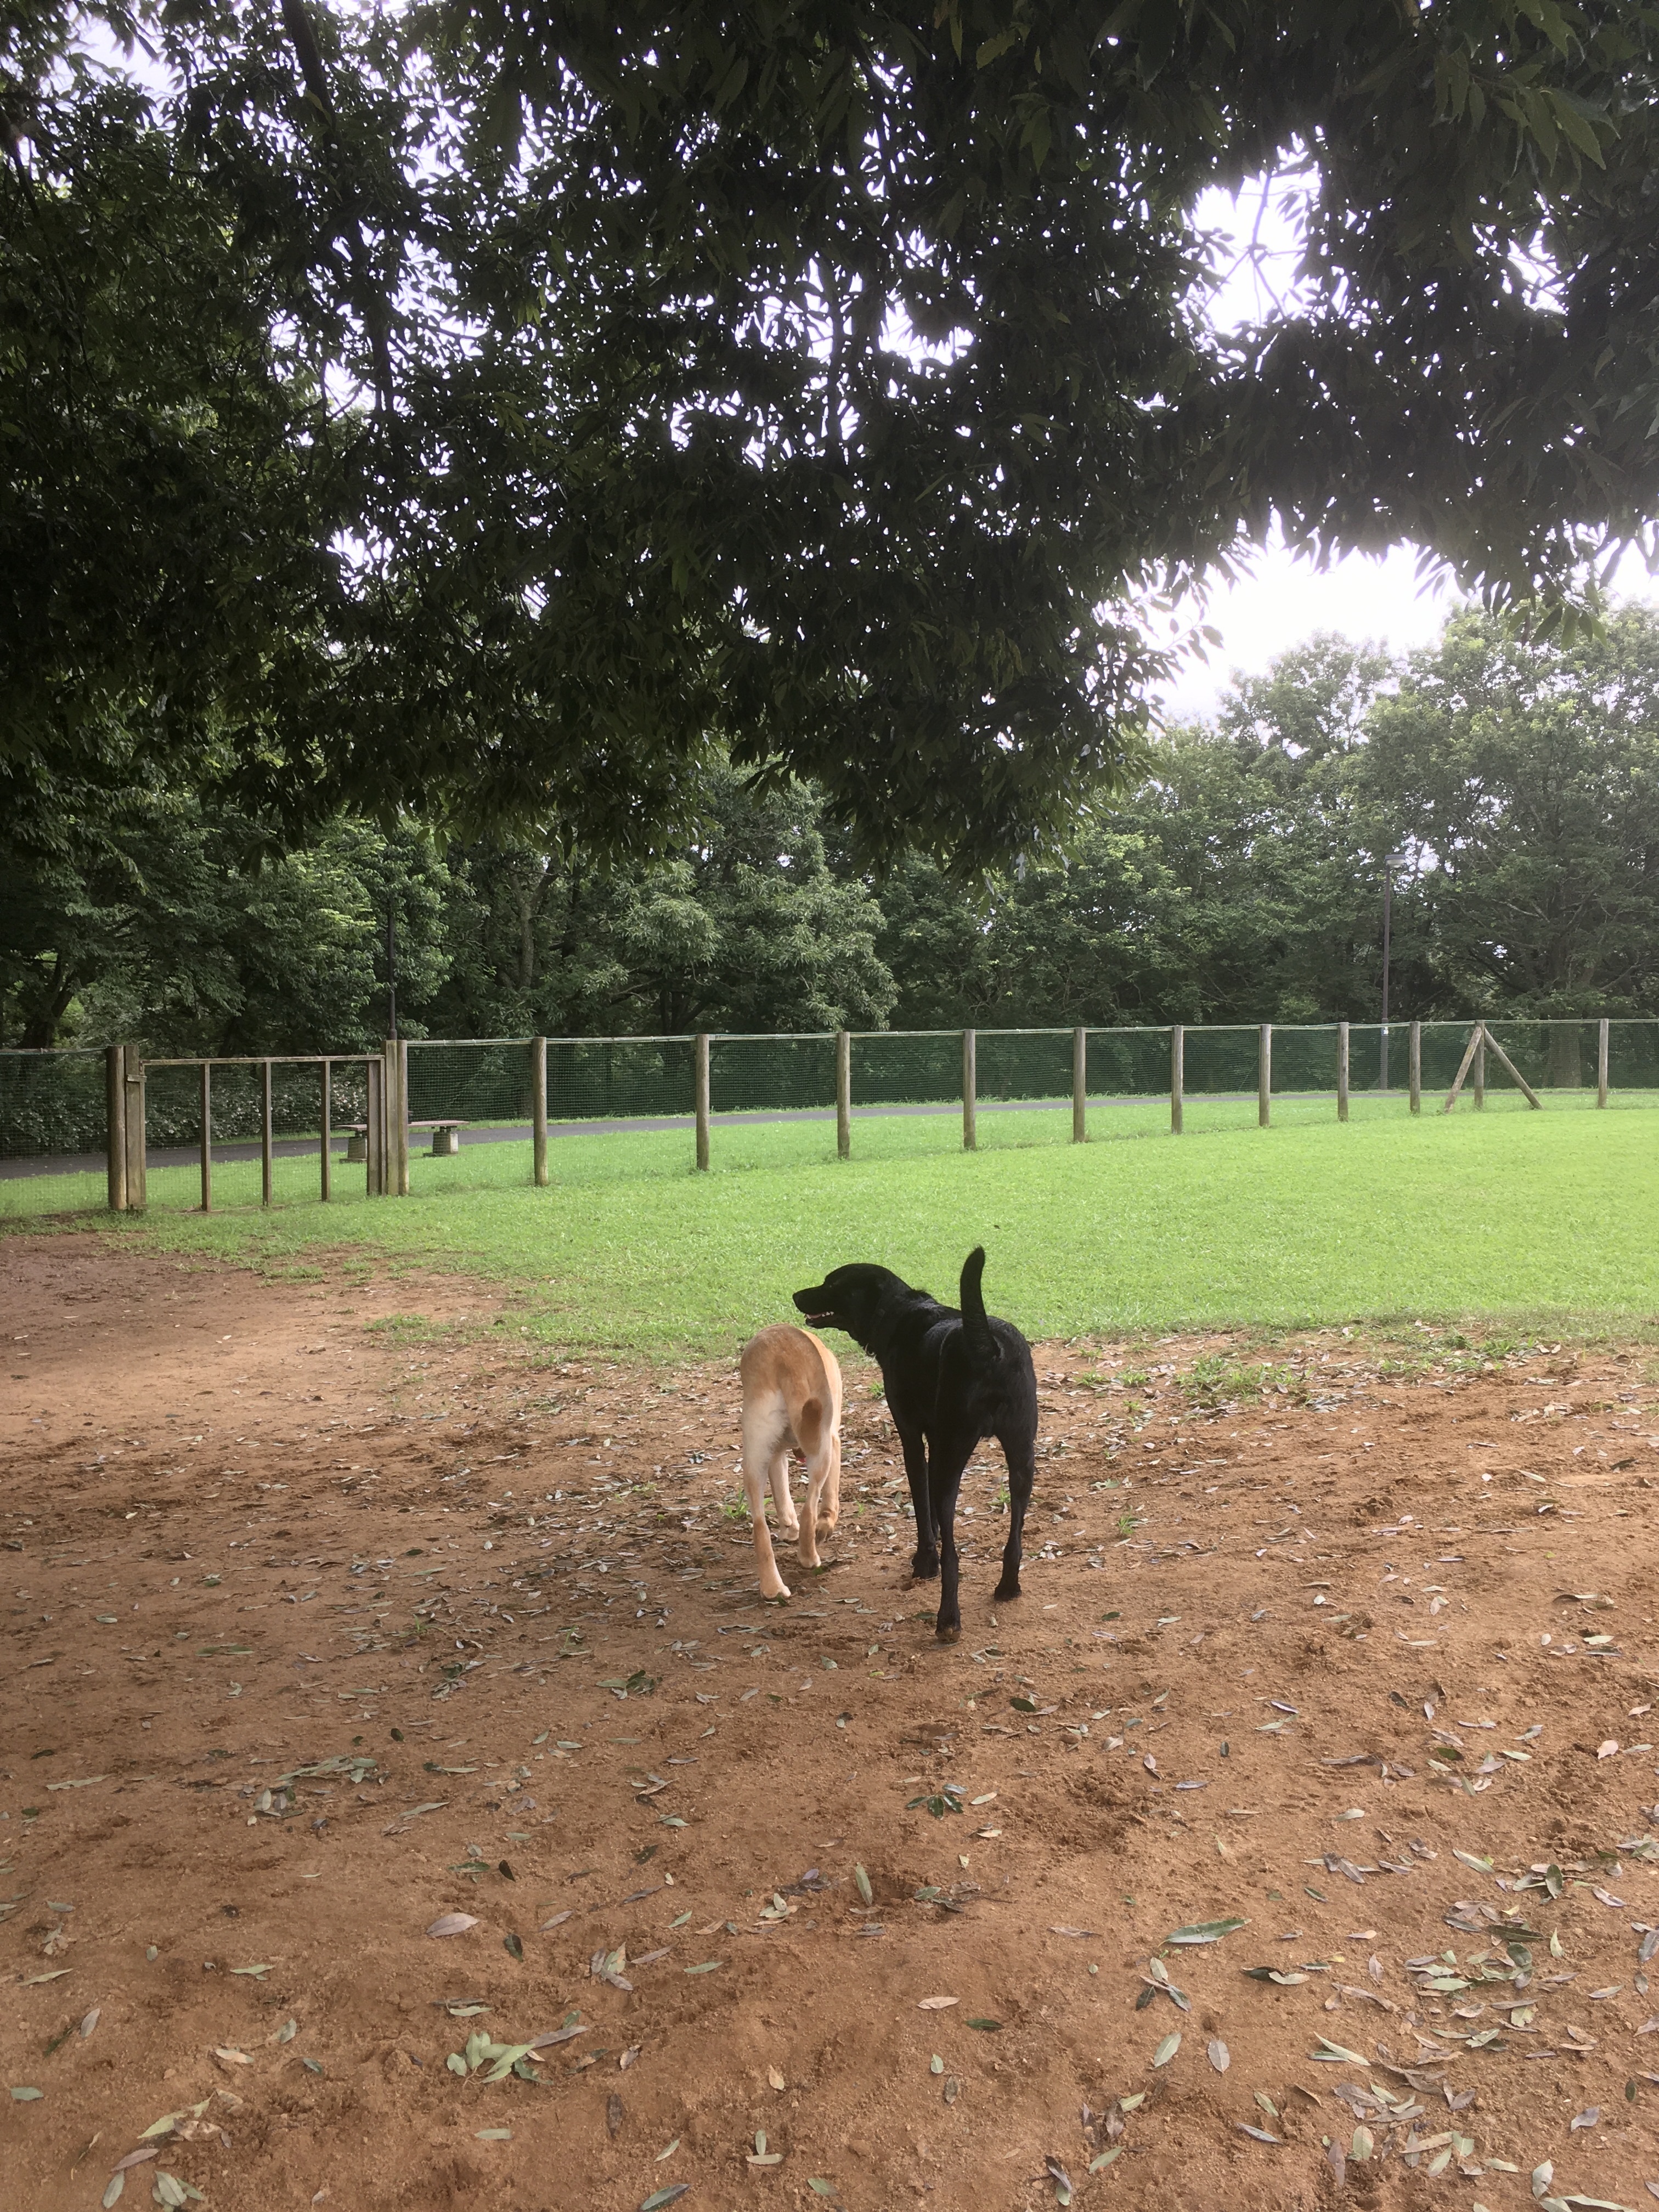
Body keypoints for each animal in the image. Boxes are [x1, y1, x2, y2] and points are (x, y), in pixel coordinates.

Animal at [738, 1324, 844, 1601]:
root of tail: (784, 1359)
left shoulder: (776, 1456)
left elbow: (782, 1497)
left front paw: (788, 1528)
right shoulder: (834, 1441)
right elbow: (830, 1498)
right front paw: (826, 1523)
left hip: (754, 1457)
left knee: (760, 1525)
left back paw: (772, 1588)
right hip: (823, 1449)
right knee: (810, 1507)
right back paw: (809, 1558)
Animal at [792, 1246, 1036, 1642]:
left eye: (831, 1284)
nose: (797, 1295)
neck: (898, 1311)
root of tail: (989, 1345)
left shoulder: (912, 1439)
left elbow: (922, 1505)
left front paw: (925, 1561)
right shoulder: (936, 1441)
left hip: (952, 1461)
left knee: (954, 1554)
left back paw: (948, 1618)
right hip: (1022, 1457)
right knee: (1015, 1537)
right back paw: (1008, 1586)